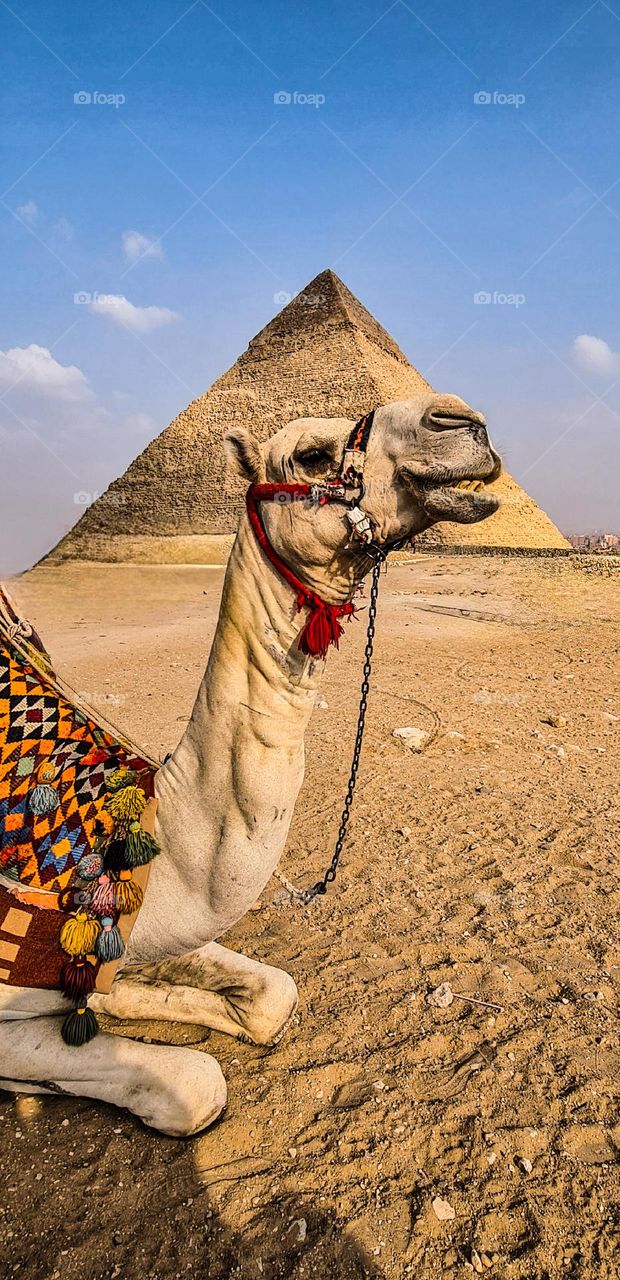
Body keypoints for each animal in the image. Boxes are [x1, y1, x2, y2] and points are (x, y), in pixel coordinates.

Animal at [0, 393, 501, 1136]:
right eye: (313, 456)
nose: (460, 420)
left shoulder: (138, 925)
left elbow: (271, 995)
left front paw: (124, 1000)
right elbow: (194, 1084)